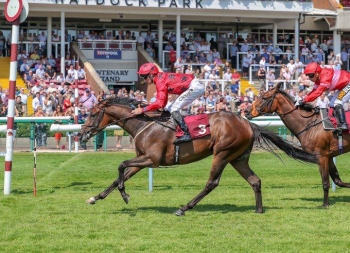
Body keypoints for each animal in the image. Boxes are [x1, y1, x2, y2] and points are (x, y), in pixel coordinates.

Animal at [78, 97, 318, 215]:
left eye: (92, 113)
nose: (81, 133)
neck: (145, 124)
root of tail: (247, 122)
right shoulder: (142, 160)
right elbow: (120, 174)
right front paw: (95, 197)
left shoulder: (152, 160)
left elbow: (120, 165)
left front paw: (125, 195)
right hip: (238, 158)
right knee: (255, 180)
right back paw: (258, 210)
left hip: (222, 153)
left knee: (211, 183)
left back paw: (184, 208)